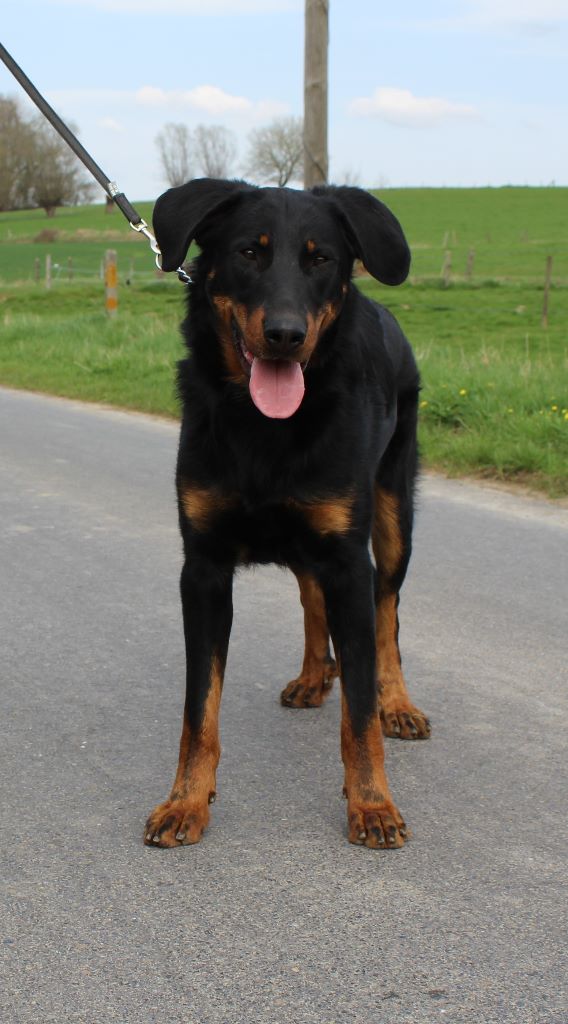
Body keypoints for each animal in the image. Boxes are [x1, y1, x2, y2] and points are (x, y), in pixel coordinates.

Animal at [145, 180, 431, 851]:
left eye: (320, 259)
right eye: (249, 252)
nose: (284, 334)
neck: (267, 429)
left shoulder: (349, 561)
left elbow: (359, 712)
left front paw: (373, 804)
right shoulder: (203, 570)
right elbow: (199, 709)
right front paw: (186, 800)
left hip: (393, 517)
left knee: (387, 611)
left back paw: (397, 701)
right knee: (309, 595)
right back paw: (314, 674)